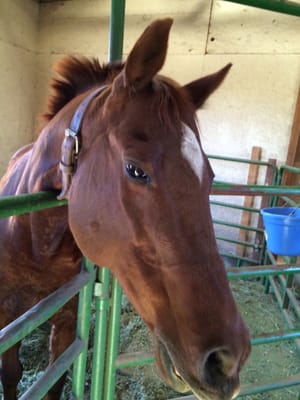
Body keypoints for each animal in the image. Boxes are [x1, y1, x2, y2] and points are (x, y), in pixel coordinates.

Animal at [0, 18, 251, 400]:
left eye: (209, 176)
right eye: (135, 170)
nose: (227, 360)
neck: (33, 242)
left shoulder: (67, 319)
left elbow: (55, 379)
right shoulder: (7, 317)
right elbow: (12, 372)